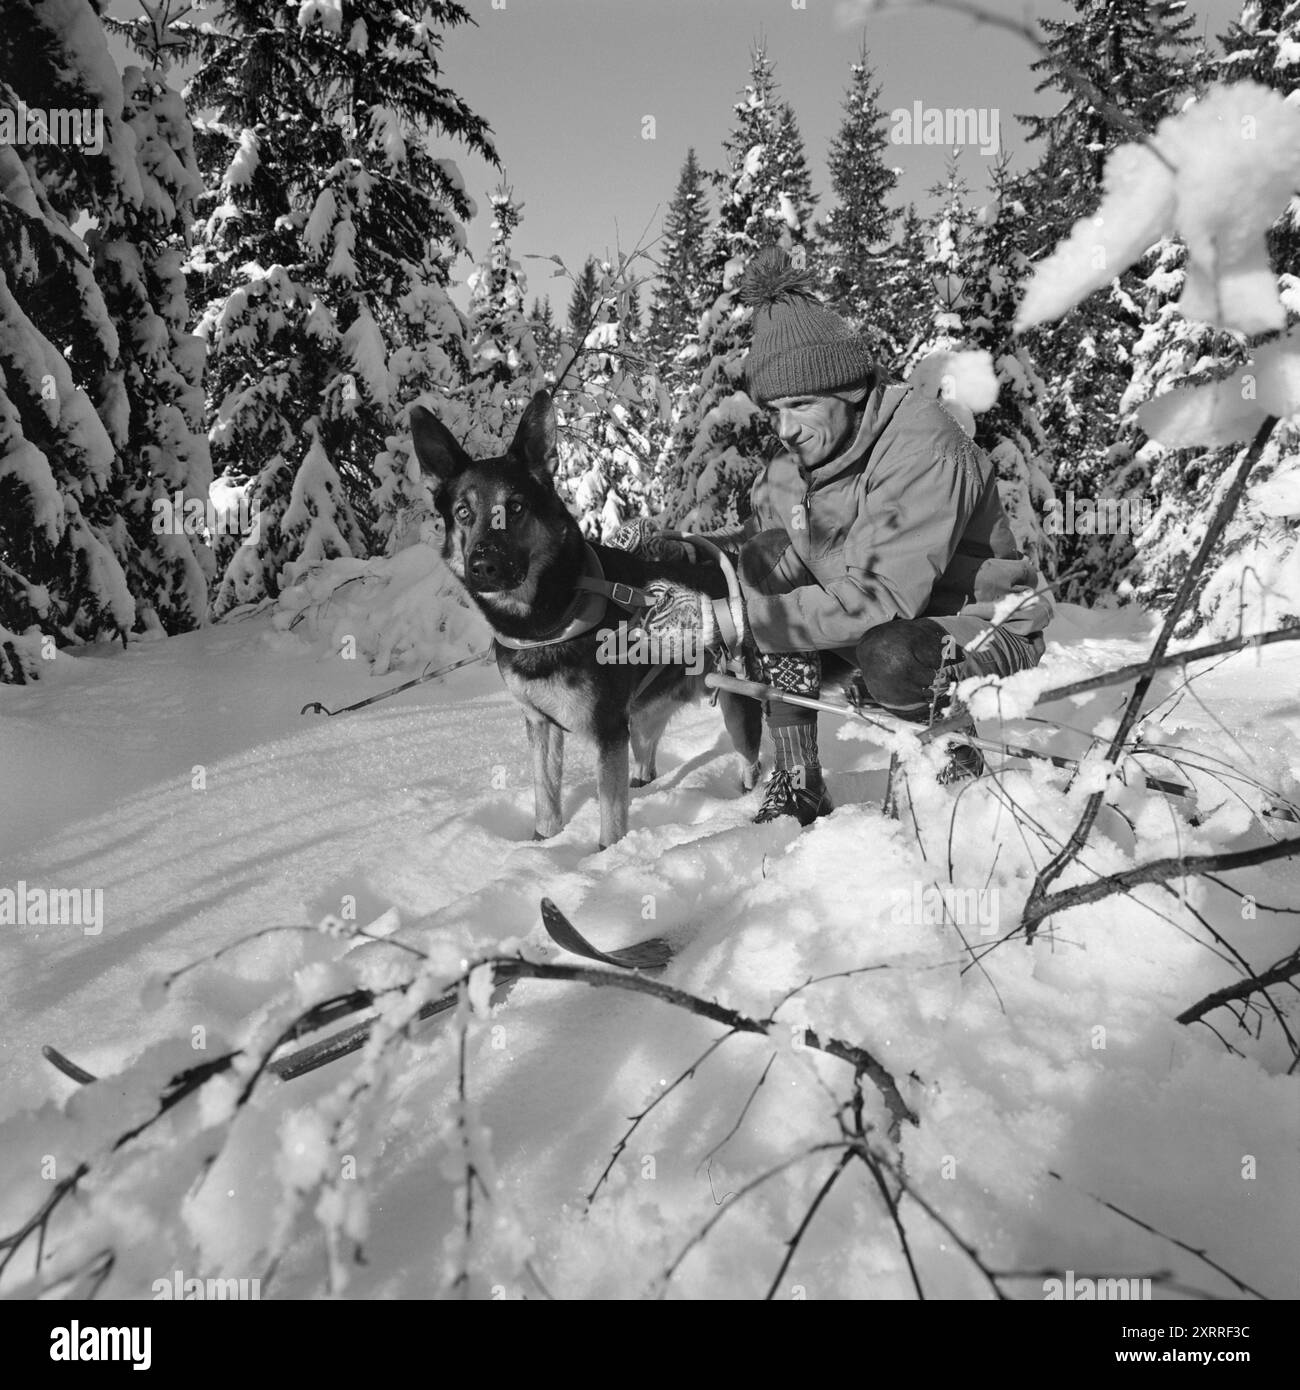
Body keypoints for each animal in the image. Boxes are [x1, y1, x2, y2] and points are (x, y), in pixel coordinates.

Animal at [408, 389, 761, 845]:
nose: (483, 566)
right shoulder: (540, 724)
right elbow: (546, 796)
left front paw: (608, 856)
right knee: (646, 758)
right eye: (463, 512)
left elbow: (610, 816)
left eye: (516, 507)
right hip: (644, 715)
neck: (546, 623)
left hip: (739, 709)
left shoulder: (608, 729)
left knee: (751, 761)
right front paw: (544, 846)